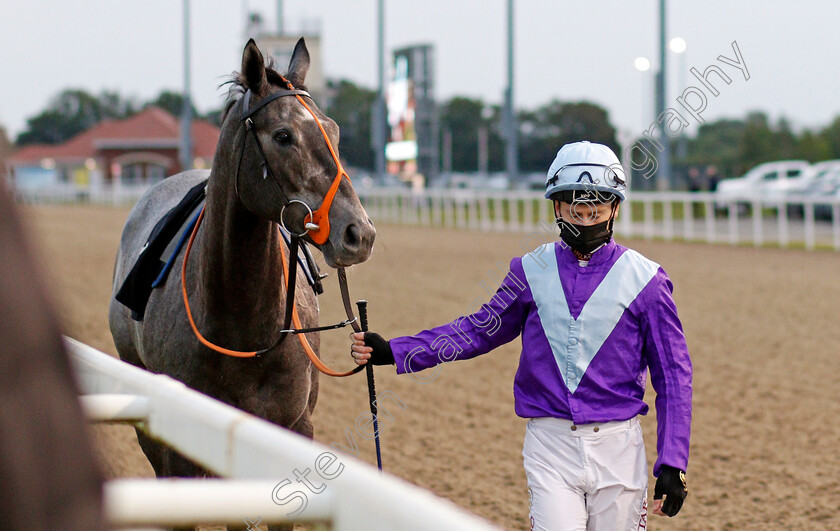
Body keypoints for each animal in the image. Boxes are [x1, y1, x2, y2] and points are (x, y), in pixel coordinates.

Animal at [107, 38, 374, 531]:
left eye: (333, 129)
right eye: (284, 136)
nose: (359, 233)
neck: (244, 327)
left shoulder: (290, 429)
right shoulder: (182, 443)